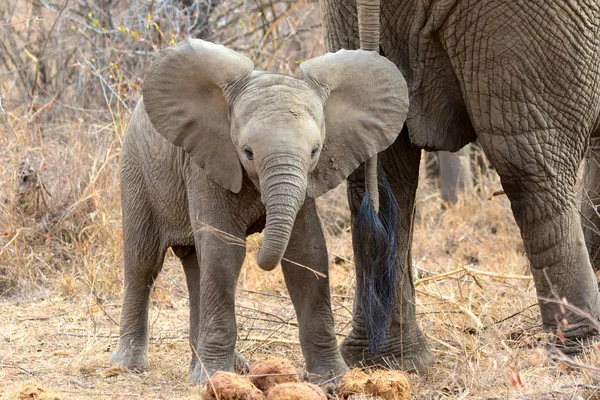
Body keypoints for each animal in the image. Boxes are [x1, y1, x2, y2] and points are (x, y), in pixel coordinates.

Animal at [110, 38, 408, 384]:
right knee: (143, 260)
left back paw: (213, 368)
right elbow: (225, 252)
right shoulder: (209, 162)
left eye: (315, 151)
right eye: (247, 153)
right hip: (135, 169)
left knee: (196, 266)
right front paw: (214, 379)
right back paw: (128, 365)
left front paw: (333, 379)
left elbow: (307, 253)